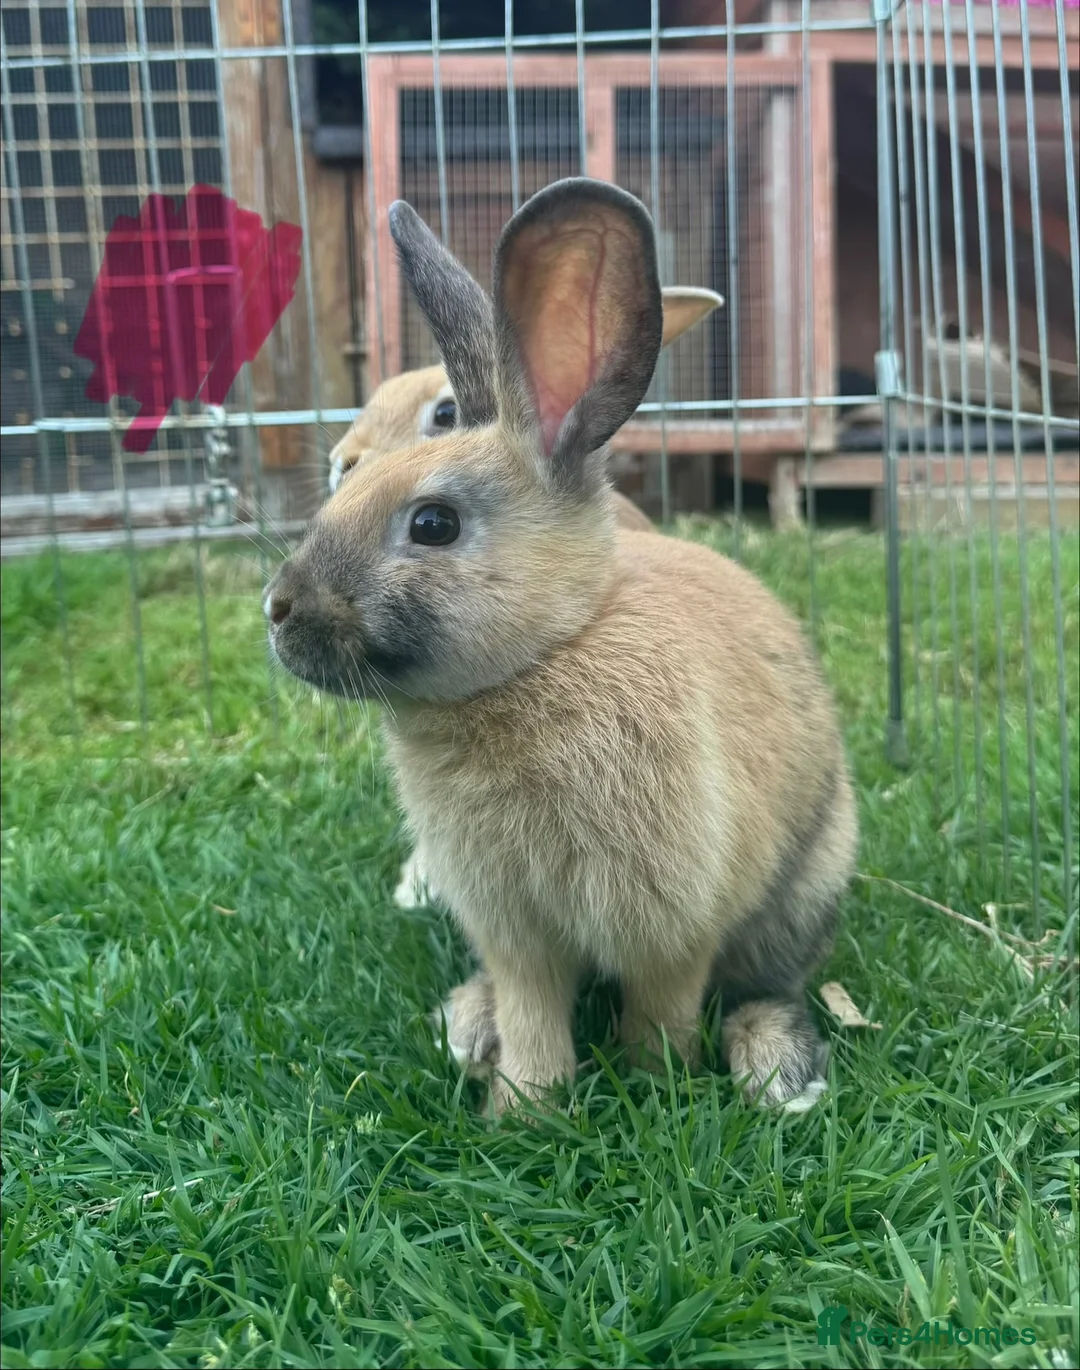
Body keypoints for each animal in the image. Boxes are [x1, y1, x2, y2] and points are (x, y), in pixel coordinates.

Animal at [265, 178, 857, 1115]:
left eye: (432, 524)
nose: (278, 609)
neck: (546, 656)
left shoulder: (673, 923)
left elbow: (661, 1007)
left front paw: (655, 1087)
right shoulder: (513, 931)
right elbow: (535, 1012)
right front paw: (524, 1111)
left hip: (809, 882)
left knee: (769, 981)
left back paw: (778, 1069)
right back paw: (470, 1027)